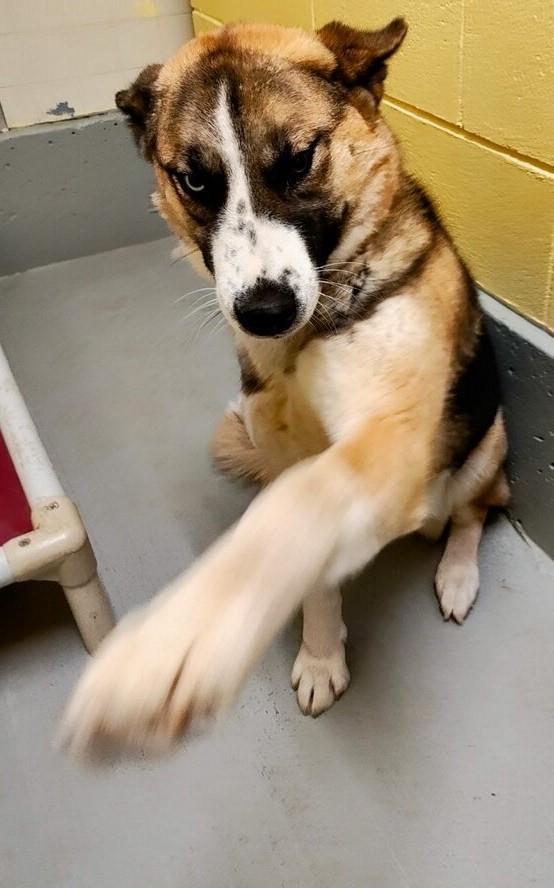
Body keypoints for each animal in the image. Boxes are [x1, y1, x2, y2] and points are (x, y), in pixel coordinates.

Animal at [59, 17, 504, 760]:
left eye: (298, 160)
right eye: (194, 180)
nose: (263, 312)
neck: (309, 334)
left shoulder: (388, 439)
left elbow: (289, 515)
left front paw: (181, 641)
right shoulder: (288, 449)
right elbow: (311, 568)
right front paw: (322, 656)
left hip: (484, 444)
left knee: (476, 512)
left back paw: (457, 573)